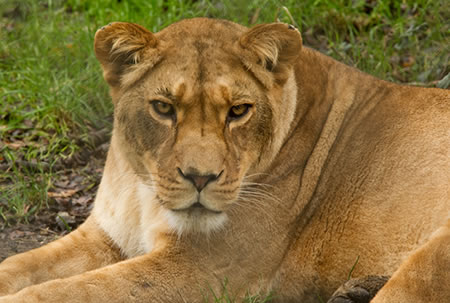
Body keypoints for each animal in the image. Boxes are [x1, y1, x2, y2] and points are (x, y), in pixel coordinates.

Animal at [0, 18, 448, 303]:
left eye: (238, 111)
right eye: (163, 108)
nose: (200, 177)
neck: (144, 192)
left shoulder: (200, 270)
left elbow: (64, 292)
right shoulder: (104, 236)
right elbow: (19, 265)